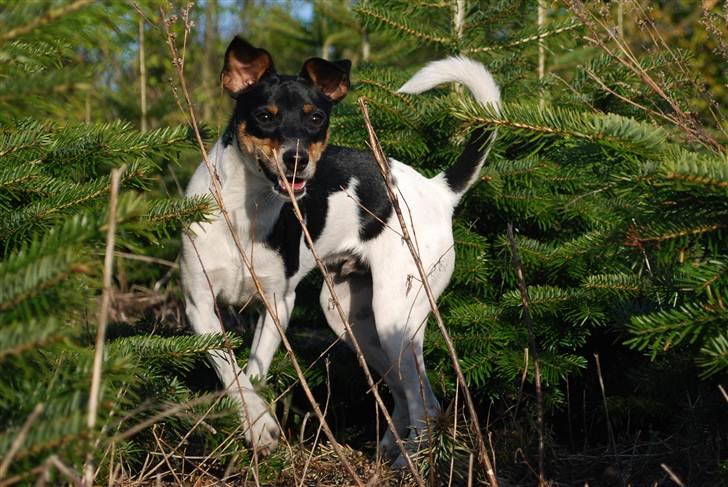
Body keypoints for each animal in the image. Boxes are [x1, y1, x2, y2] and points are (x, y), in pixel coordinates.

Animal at [182, 35, 500, 466]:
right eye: (265, 115)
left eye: (316, 118)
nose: (296, 160)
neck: (243, 211)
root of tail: (438, 189)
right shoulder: (199, 305)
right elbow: (235, 373)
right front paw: (257, 423)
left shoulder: (278, 304)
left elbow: (253, 372)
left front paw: (260, 426)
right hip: (348, 317)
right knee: (409, 393)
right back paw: (393, 448)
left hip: (396, 314)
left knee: (424, 401)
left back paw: (410, 461)